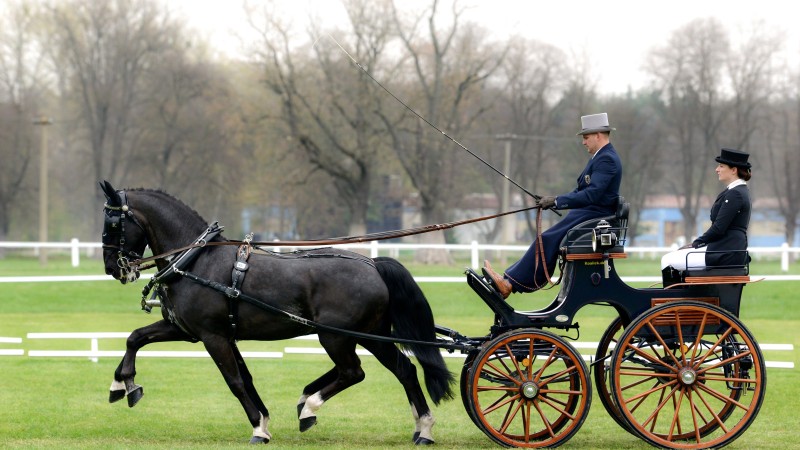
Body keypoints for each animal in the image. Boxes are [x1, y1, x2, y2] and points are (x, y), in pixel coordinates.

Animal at [97, 181, 454, 444]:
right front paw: (123, 384)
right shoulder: (192, 332)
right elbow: (135, 338)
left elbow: (234, 381)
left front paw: (258, 427)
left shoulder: (213, 337)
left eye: (112, 223)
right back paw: (422, 428)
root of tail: (373, 263)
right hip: (371, 335)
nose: (112, 267)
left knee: (354, 372)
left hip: (336, 337)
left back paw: (310, 407)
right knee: (404, 370)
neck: (196, 261)